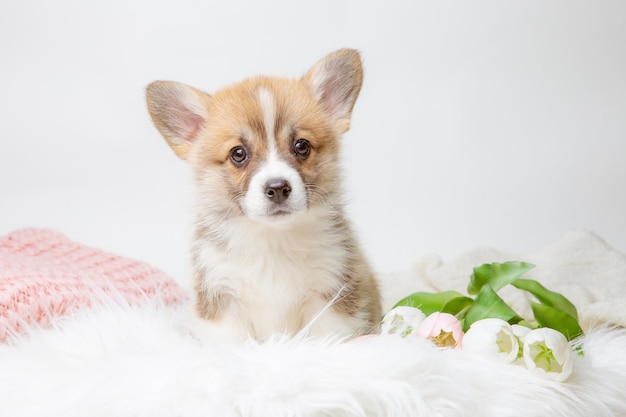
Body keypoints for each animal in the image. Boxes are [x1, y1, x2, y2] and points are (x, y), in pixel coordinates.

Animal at [145, 48, 380, 342]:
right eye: (238, 153)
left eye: (301, 146)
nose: (278, 187)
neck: (273, 240)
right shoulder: (222, 298)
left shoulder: (331, 293)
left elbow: (324, 340)